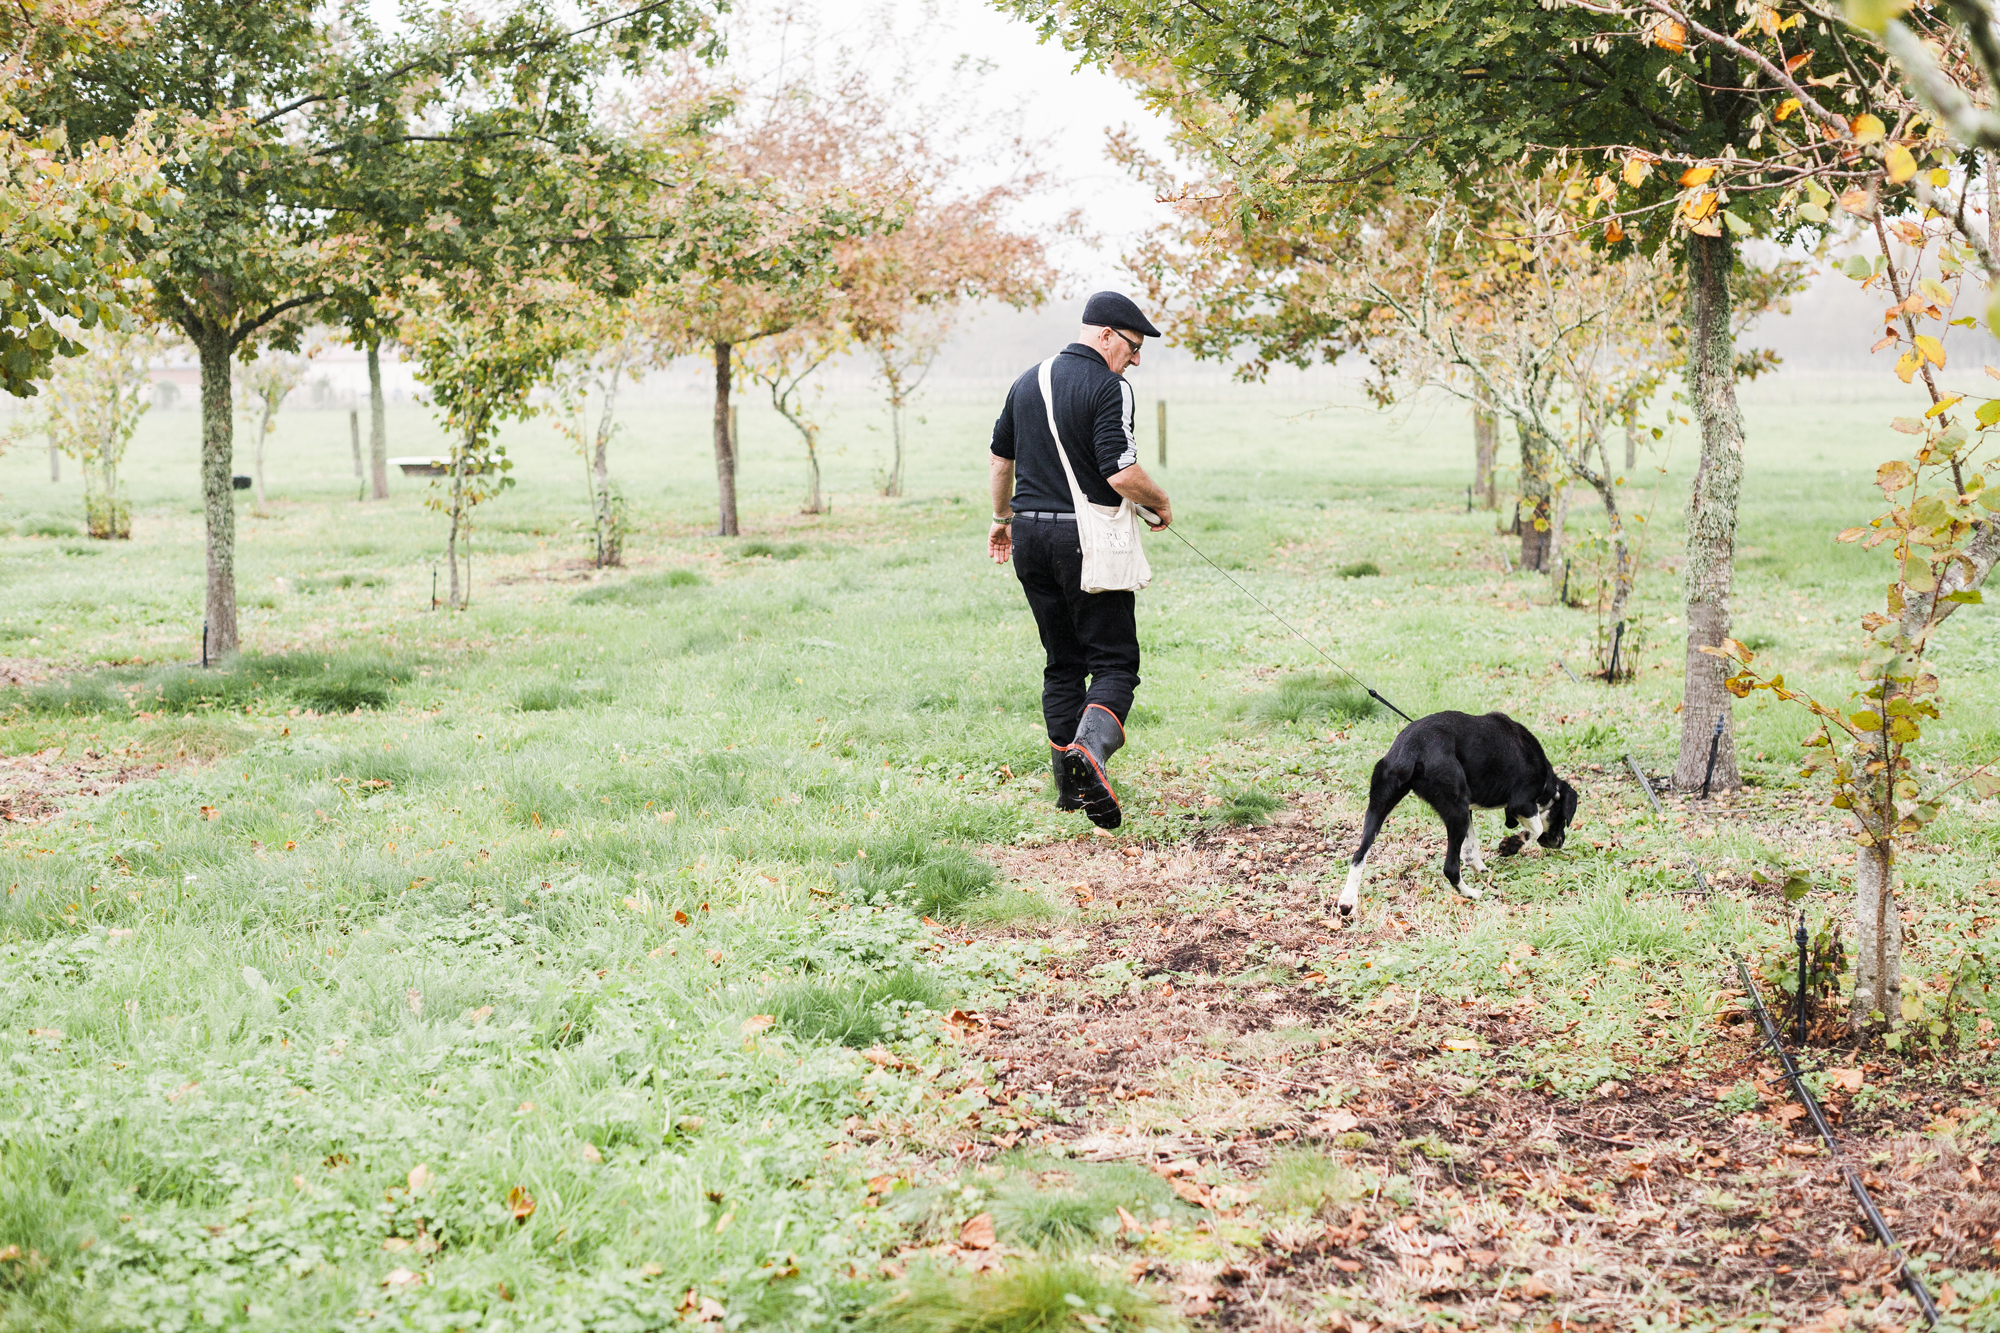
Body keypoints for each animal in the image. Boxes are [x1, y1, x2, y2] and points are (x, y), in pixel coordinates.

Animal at [1344, 704, 1576, 912]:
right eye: (1563, 818)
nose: (1560, 843)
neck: (1548, 784)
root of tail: (1411, 749)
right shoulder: (1522, 803)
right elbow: (1536, 828)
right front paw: (1513, 845)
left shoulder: (1470, 810)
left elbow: (1471, 849)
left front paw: (1482, 868)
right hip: (1456, 812)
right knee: (1450, 868)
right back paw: (1472, 894)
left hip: (1380, 806)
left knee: (1358, 855)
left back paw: (1347, 903)